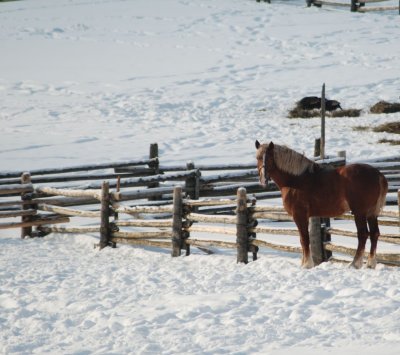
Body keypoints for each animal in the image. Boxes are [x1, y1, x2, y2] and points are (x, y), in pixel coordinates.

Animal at [256, 141, 388, 270]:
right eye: (258, 157)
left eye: (270, 157)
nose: (263, 180)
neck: (295, 180)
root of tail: (377, 174)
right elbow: (302, 239)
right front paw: (304, 263)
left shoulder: (299, 215)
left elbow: (304, 239)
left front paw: (307, 265)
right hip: (371, 213)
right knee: (374, 234)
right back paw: (370, 264)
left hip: (360, 212)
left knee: (363, 234)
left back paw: (355, 264)